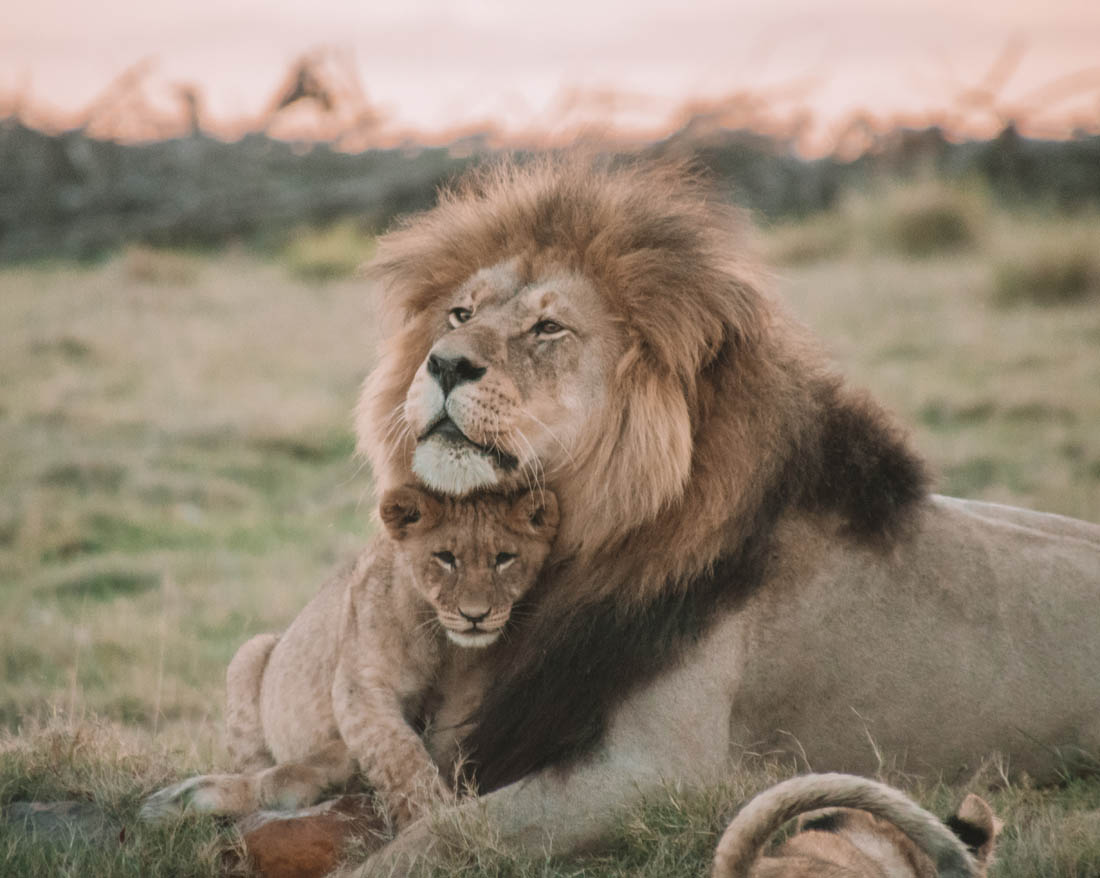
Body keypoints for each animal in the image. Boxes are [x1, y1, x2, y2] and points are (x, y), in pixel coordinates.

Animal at [144, 488, 558, 831]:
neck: (445, 645)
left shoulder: (467, 698)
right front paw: (432, 818)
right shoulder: (360, 684)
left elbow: (441, 747)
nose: (476, 615)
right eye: (445, 558)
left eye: (504, 558)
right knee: (259, 767)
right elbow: (398, 753)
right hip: (250, 653)